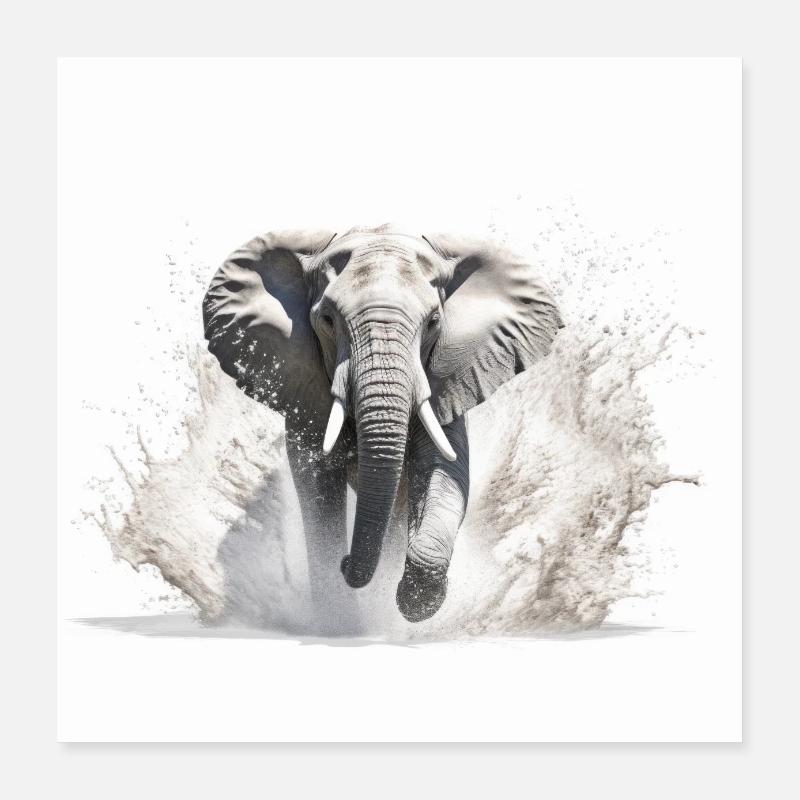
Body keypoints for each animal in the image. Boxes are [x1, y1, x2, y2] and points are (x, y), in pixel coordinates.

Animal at [202, 224, 562, 628]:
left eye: (434, 322)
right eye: (327, 320)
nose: (347, 565)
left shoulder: (445, 385)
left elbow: (445, 472)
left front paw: (415, 601)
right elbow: (317, 487)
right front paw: (340, 623)